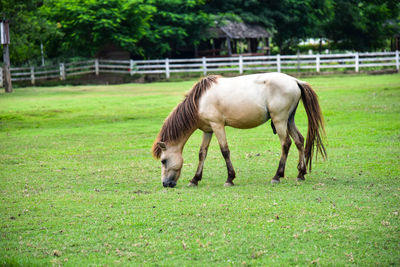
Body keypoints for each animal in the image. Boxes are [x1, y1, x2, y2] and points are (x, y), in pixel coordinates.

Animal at [152, 72, 326, 187]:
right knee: (299, 141)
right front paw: (195, 179)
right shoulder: (208, 130)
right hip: (289, 120)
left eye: (163, 161)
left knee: (286, 143)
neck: (199, 101)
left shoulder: (217, 126)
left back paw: (277, 176)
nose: (165, 184)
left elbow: (225, 151)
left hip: (279, 120)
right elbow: (202, 153)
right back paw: (300, 173)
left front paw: (230, 178)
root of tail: (295, 80)